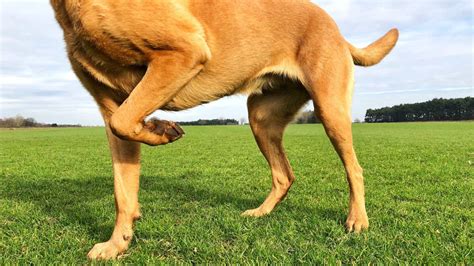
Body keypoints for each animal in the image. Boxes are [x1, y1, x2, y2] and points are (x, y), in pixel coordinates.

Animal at [50, 0, 398, 258]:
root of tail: (337, 30)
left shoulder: (183, 52)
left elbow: (124, 123)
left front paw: (161, 130)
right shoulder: (111, 105)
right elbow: (122, 189)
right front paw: (117, 244)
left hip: (330, 108)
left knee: (354, 168)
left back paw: (357, 219)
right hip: (261, 118)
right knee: (284, 175)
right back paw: (261, 213)